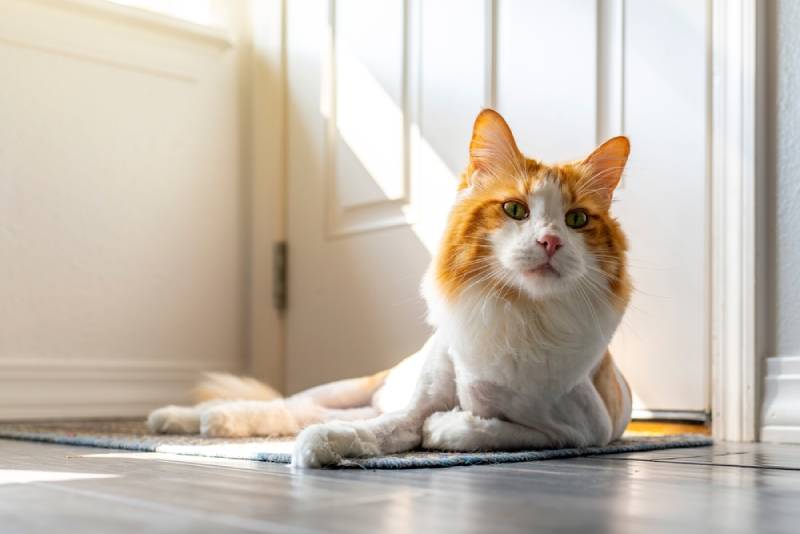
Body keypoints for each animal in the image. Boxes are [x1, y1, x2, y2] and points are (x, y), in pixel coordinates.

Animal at [145, 109, 632, 468]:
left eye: (576, 220)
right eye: (515, 210)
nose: (549, 242)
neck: (515, 310)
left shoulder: (580, 431)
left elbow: (492, 429)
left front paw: (440, 430)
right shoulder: (415, 406)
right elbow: (380, 430)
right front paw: (316, 448)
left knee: (304, 413)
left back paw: (211, 421)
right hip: (347, 387)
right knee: (286, 405)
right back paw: (180, 418)